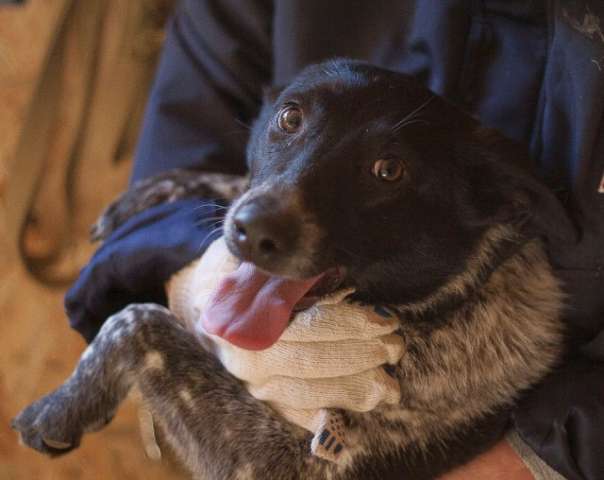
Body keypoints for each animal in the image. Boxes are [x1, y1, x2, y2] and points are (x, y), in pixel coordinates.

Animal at [10, 61, 576, 480]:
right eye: (289, 117)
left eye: (389, 170)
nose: (252, 231)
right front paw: (159, 190)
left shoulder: (276, 465)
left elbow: (136, 322)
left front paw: (63, 406)